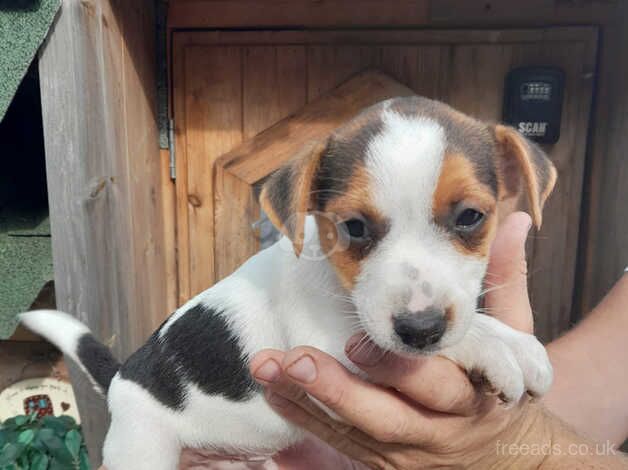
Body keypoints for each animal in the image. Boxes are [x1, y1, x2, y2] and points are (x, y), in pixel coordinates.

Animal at [22, 96, 556, 470]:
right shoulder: (330, 347)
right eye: (353, 227)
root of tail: (121, 378)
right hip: (143, 448)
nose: (421, 329)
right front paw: (493, 348)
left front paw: (515, 342)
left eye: (470, 217)